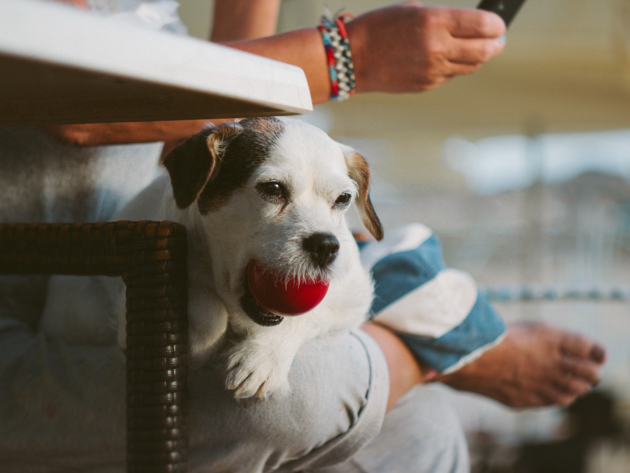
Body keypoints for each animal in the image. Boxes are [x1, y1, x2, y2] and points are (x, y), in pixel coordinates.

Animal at [42, 116, 386, 396]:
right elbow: (207, 309)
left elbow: (308, 314)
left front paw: (262, 356)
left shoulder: (353, 298)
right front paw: (197, 339)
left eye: (343, 199)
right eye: (273, 188)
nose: (326, 246)